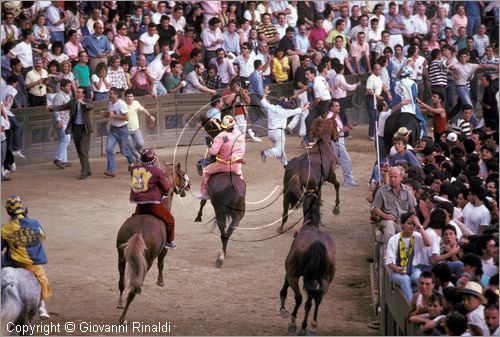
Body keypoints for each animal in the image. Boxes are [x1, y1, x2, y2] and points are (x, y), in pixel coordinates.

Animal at [116, 162, 190, 322]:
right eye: (182, 173)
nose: (188, 186)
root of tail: (139, 232)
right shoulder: (164, 249)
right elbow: (161, 263)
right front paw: (160, 281)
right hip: (146, 262)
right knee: (133, 289)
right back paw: (122, 317)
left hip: (121, 257)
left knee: (121, 283)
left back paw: (120, 303)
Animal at [278, 190, 336, 334]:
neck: (310, 225)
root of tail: (317, 244)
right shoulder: (313, 280)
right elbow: (309, 302)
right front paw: (304, 326)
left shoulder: (290, 273)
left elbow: (285, 288)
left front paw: (283, 309)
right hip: (325, 279)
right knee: (316, 299)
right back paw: (311, 326)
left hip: (294, 275)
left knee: (299, 297)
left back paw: (293, 322)